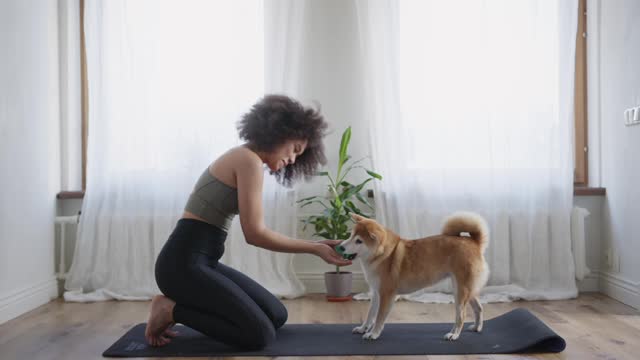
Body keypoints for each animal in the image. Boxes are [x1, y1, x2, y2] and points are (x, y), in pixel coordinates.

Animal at [340, 212, 490, 342]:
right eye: (350, 235)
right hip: (464, 290)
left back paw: (454, 334)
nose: (340, 247)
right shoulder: (376, 293)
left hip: (460, 292)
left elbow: (379, 318)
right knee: (478, 308)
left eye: (359, 241)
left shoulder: (386, 294)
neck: (381, 255)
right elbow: (370, 315)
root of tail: (474, 242)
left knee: (461, 316)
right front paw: (363, 329)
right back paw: (477, 327)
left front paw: (373, 334)